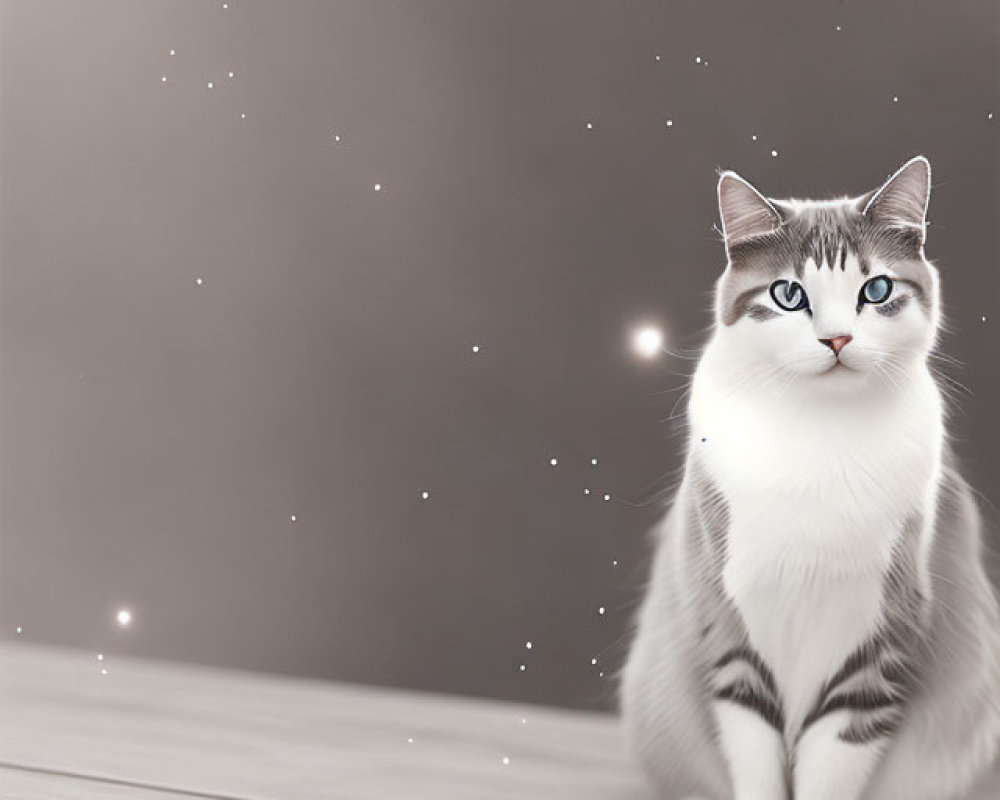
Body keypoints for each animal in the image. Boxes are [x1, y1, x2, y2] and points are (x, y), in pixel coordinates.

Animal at [616, 158, 1000, 800]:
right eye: (789, 294)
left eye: (876, 290)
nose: (837, 339)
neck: (819, 437)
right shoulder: (732, 633)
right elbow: (757, 765)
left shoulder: (877, 646)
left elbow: (831, 767)